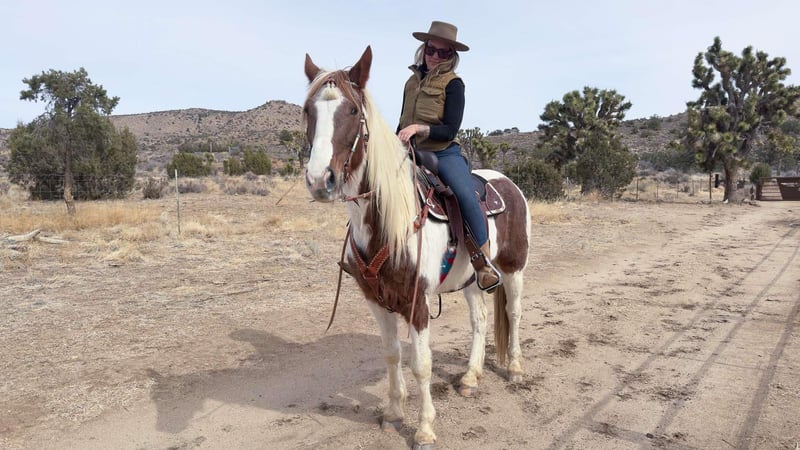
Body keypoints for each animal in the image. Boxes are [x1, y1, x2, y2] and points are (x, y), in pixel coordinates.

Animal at [302, 46, 531, 449]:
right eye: (307, 111)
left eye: (352, 111)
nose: (319, 180)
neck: (387, 224)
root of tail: (508, 183)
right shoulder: (376, 301)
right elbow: (393, 355)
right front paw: (394, 413)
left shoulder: (418, 303)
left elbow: (421, 364)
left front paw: (424, 429)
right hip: (473, 278)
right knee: (480, 319)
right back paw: (470, 377)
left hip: (514, 268)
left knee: (514, 313)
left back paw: (516, 369)